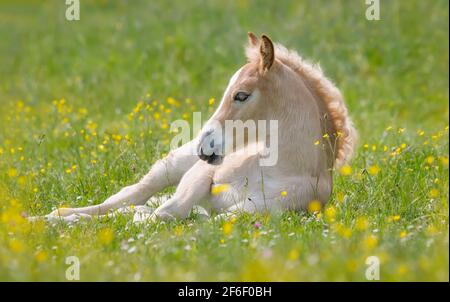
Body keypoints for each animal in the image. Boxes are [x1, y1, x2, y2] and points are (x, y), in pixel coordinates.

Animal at [37, 34, 356, 223]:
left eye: (241, 95)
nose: (205, 146)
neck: (276, 169)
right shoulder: (201, 175)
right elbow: (167, 210)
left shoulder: (248, 215)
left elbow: (175, 216)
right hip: (171, 165)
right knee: (128, 196)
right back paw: (52, 218)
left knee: (139, 205)